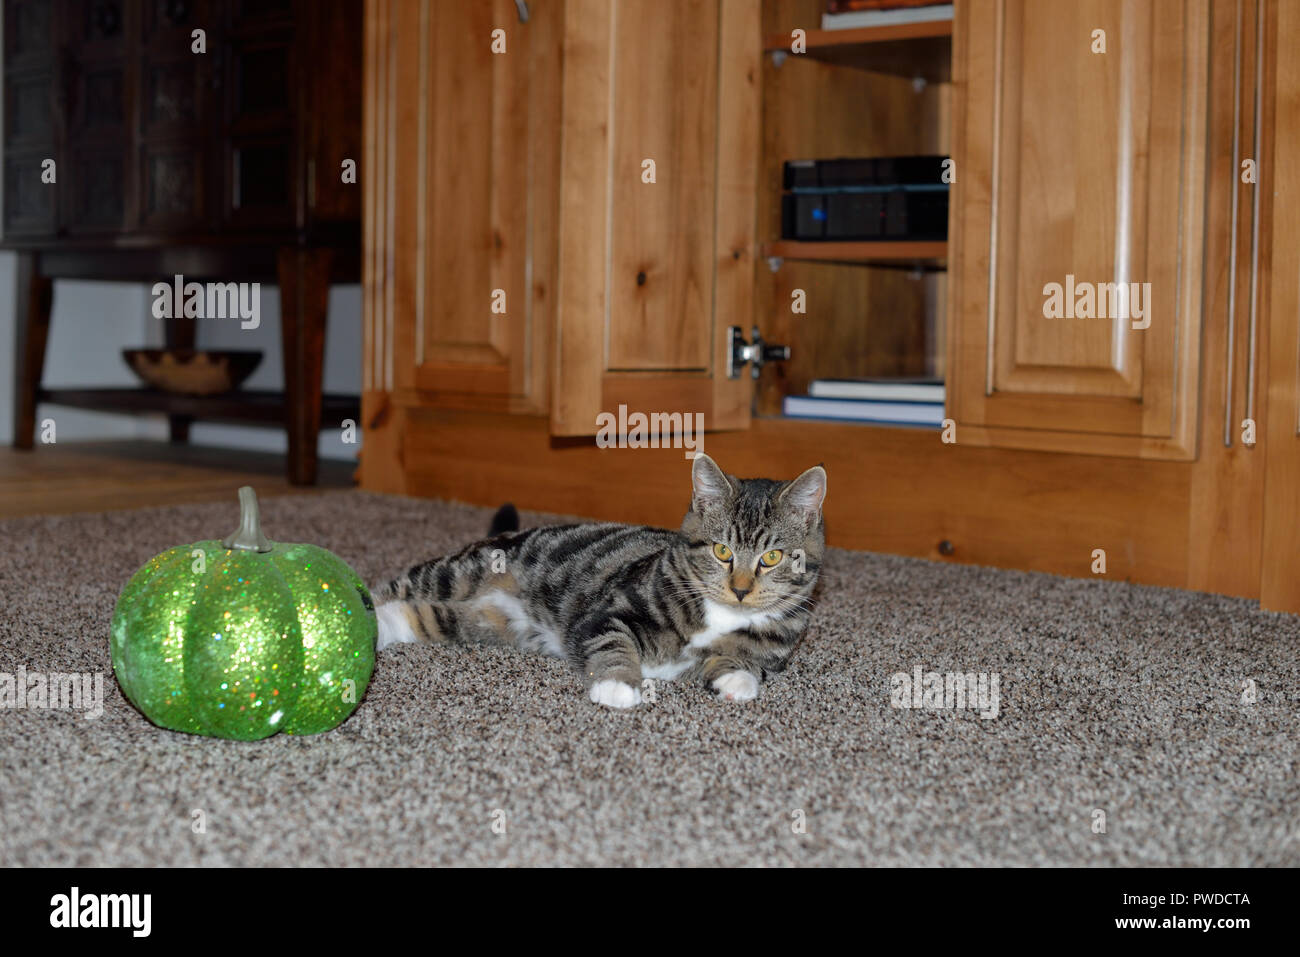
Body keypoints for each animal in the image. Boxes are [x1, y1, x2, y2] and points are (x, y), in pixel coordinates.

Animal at [371, 452, 826, 707]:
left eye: (772, 557)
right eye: (722, 551)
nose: (741, 590)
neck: (721, 614)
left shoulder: (773, 649)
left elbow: (742, 660)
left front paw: (738, 677)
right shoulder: (611, 610)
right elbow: (612, 642)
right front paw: (617, 685)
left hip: (490, 624)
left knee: (422, 616)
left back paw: (375, 629)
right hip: (460, 572)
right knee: (394, 589)